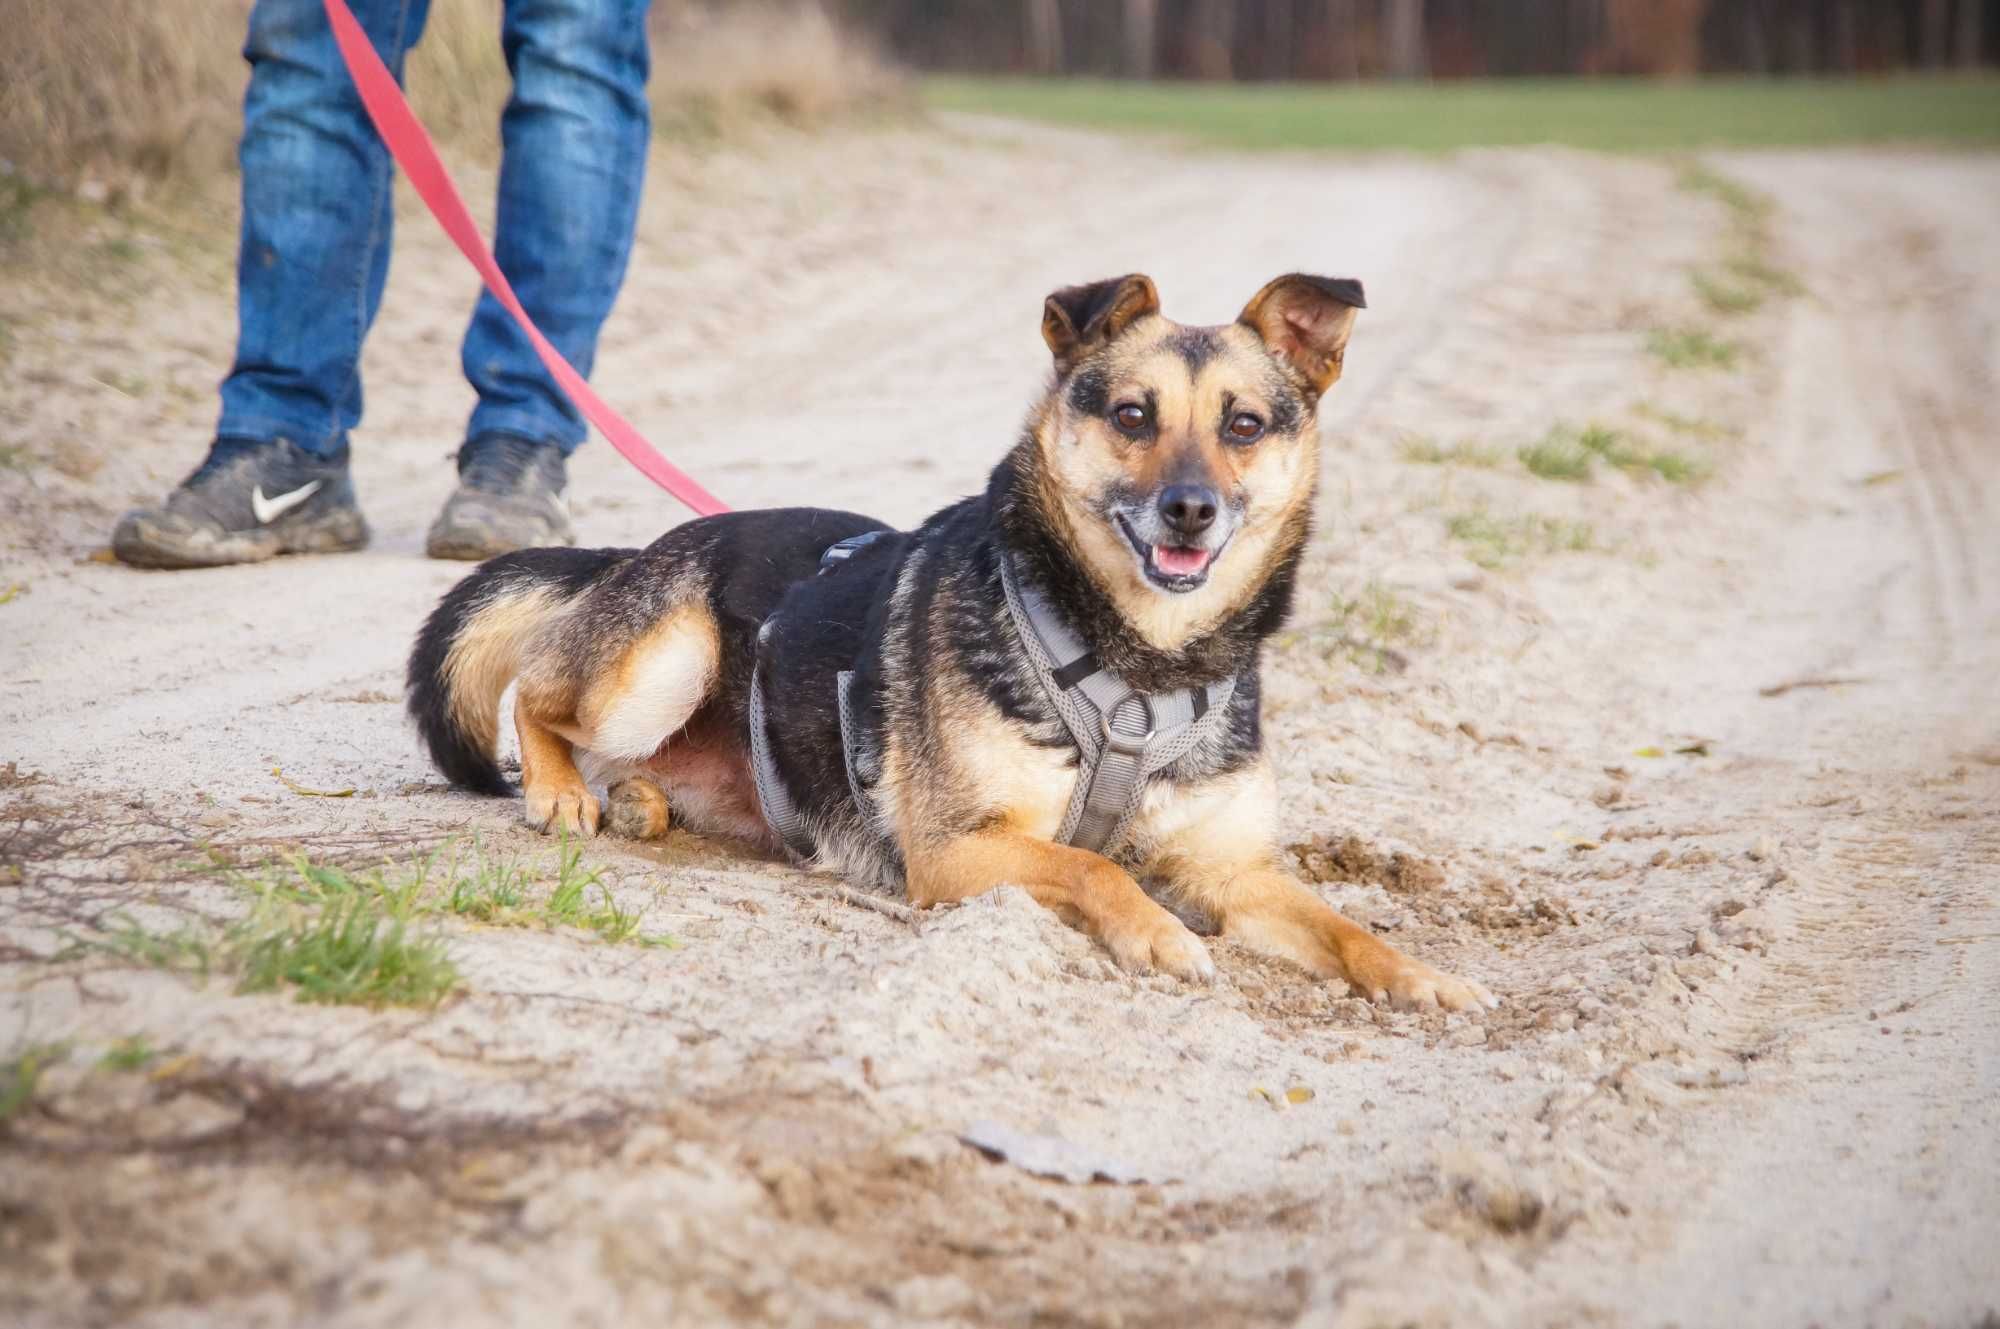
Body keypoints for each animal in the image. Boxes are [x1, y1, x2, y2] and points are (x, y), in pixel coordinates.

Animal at [410, 274, 1504, 1012]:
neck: (1139, 663)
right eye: (1131, 414)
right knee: (538, 695)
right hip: (666, 659)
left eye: (1243, 425)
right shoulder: (958, 850)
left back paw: (641, 801)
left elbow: (1339, 922)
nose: (1189, 511)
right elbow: (1097, 868)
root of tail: (641, 547)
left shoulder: (1232, 873)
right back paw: (561, 793)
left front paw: (1421, 975)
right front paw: (1155, 936)